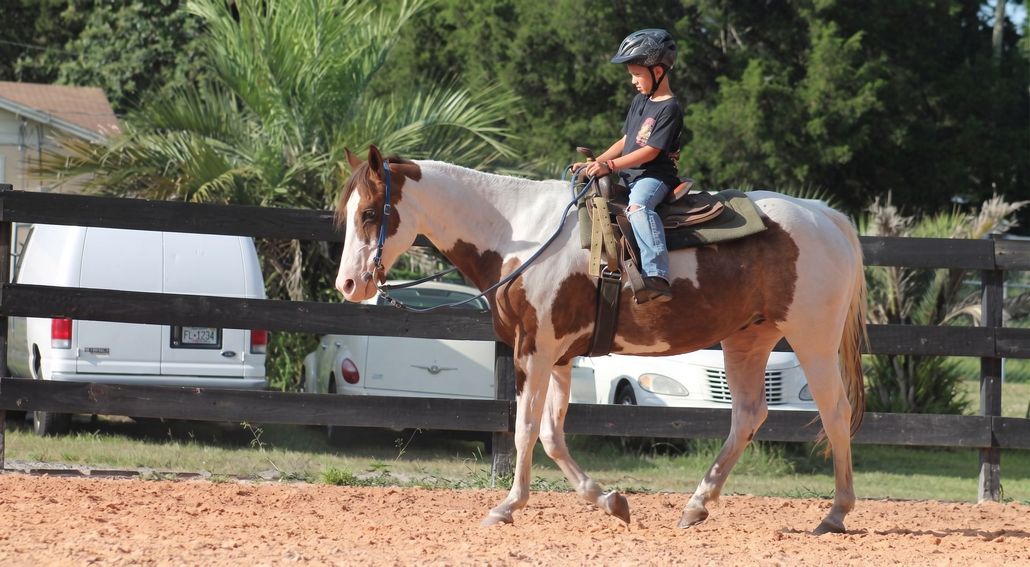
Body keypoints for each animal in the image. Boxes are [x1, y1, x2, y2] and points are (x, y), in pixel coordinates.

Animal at [334, 145, 867, 535]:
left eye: (369, 213)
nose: (349, 285)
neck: (520, 234)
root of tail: (823, 216)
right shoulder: (559, 356)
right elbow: (552, 435)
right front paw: (610, 501)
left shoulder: (534, 349)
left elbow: (526, 430)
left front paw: (507, 506)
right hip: (747, 341)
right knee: (748, 417)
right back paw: (696, 506)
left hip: (813, 340)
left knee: (835, 412)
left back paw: (835, 514)